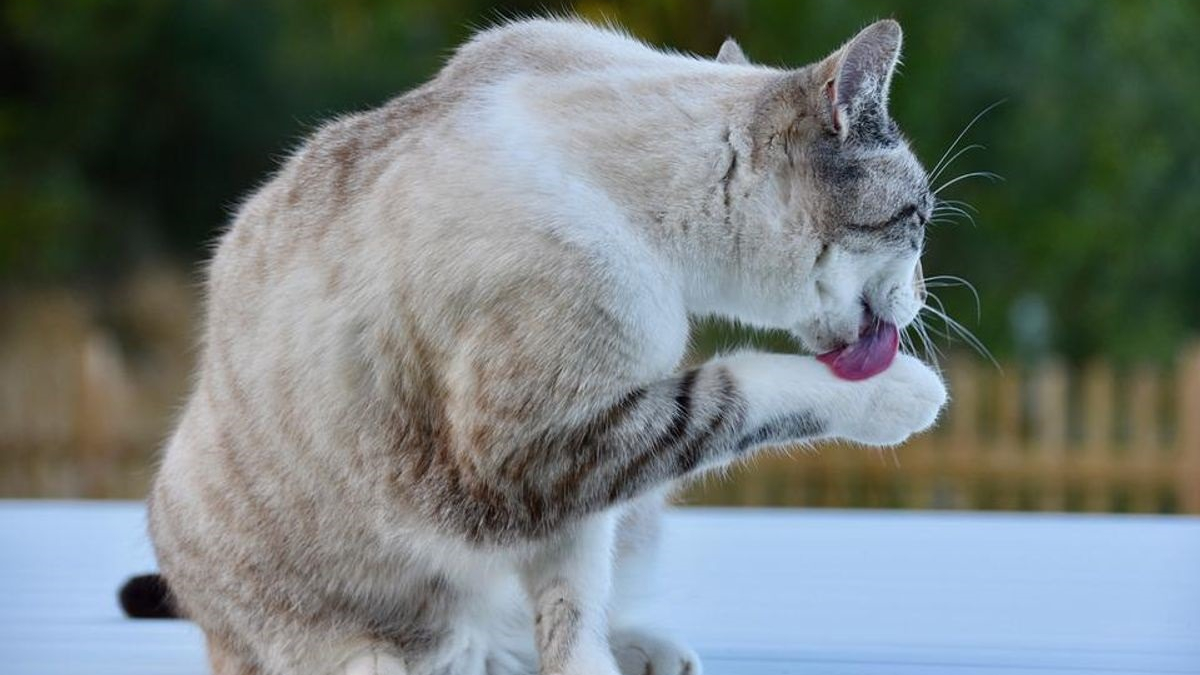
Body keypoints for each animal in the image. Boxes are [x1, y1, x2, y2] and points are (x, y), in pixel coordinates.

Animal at [136, 14, 945, 672]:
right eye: (919, 221)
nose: (926, 295)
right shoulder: (529, 456)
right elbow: (738, 389)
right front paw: (906, 394)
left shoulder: (582, 485)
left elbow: (571, 612)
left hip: (638, 522)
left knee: (528, 633)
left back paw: (645, 652)